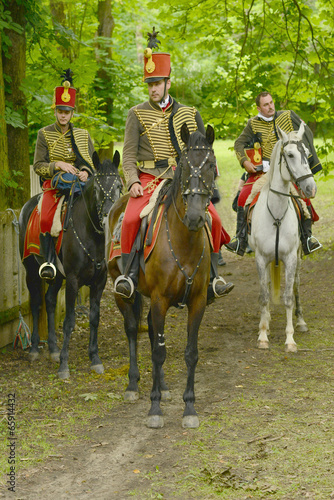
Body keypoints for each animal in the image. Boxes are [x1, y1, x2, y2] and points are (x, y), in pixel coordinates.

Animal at [18, 152, 122, 378]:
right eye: (97, 187)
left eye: (119, 185)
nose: (108, 217)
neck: (92, 234)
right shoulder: (73, 280)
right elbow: (69, 322)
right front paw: (64, 366)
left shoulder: (99, 281)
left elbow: (94, 317)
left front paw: (95, 359)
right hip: (31, 270)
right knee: (37, 302)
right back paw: (34, 349)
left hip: (58, 276)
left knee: (49, 300)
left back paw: (53, 349)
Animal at [107, 125, 217, 430]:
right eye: (185, 166)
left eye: (211, 166)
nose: (195, 217)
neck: (184, 241)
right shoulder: (159, 300)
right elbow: (157, 352)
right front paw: (154, 409)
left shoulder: (197, 301)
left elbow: (190, 353)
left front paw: (189, 408)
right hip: (122, 291)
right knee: (133, 329)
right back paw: (133, 386)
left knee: (154, 334)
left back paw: (164, 386)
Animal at [248, 122, 318, 352]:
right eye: (290, 154)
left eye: (306, 153)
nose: (311, 188)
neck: (276, 214)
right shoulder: (261, 258)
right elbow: (263, 297)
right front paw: (262, 335)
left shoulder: (290, 257)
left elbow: (288, 297)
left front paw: (290, 339)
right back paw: (267, 323)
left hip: (297, 257)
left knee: (295, 284)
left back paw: (301, 321)